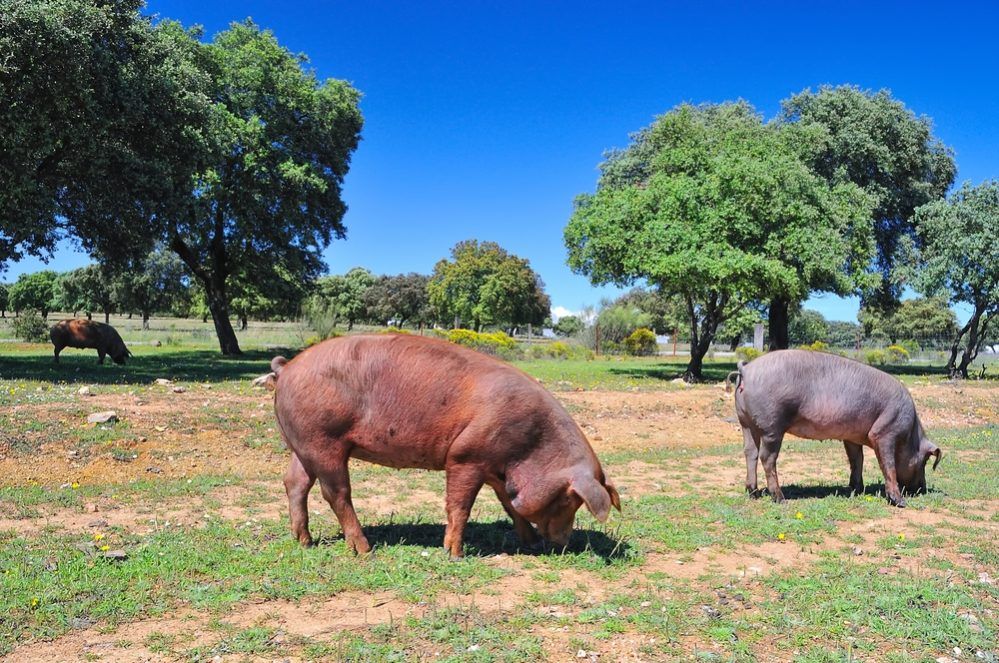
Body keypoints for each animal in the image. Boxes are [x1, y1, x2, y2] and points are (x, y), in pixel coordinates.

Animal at [268, 334, 621, 558]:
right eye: (568, 500)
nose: (564, 544)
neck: (532, 443)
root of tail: (287, 368)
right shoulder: (466, 456)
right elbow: (460, 506)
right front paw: (455, 554)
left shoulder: (495, 468)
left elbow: (509, 504)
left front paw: (531, 542)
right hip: (323, 440)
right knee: (336, 493)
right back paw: (365, 550)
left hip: (303, 444)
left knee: (295, 482)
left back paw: (305, 542)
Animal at [727, 349, 941, 507]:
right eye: (924, 460)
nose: (922, 488)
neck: (910, 434)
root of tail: (746, 370)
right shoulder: (884, 432)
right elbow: (888, 465)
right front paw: (900, 502)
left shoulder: (852, 437)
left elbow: (857, 460)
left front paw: (856, 489)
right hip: (772, 425)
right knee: (767, 458)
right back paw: (780, 499)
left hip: (745, 422)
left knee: (750, 452)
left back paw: (753, 493)